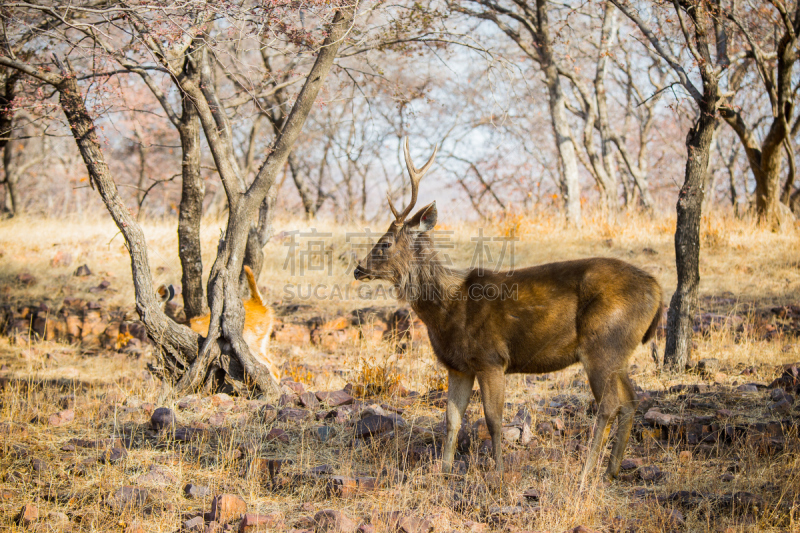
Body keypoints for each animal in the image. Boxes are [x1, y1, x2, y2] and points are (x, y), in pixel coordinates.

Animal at [354, 138, 664, 482]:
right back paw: (611, 470)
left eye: (384, 243)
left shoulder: (491, 358)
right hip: (619, 351)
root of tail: (656, 289)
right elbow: (451, 420)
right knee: (631, 400)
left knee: (609, 404)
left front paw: (498, 471)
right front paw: (445, 472)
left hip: (603, 342)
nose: (358, 268)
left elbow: (493, 420)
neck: (448, 308)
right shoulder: (458, 365)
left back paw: (585, 474)